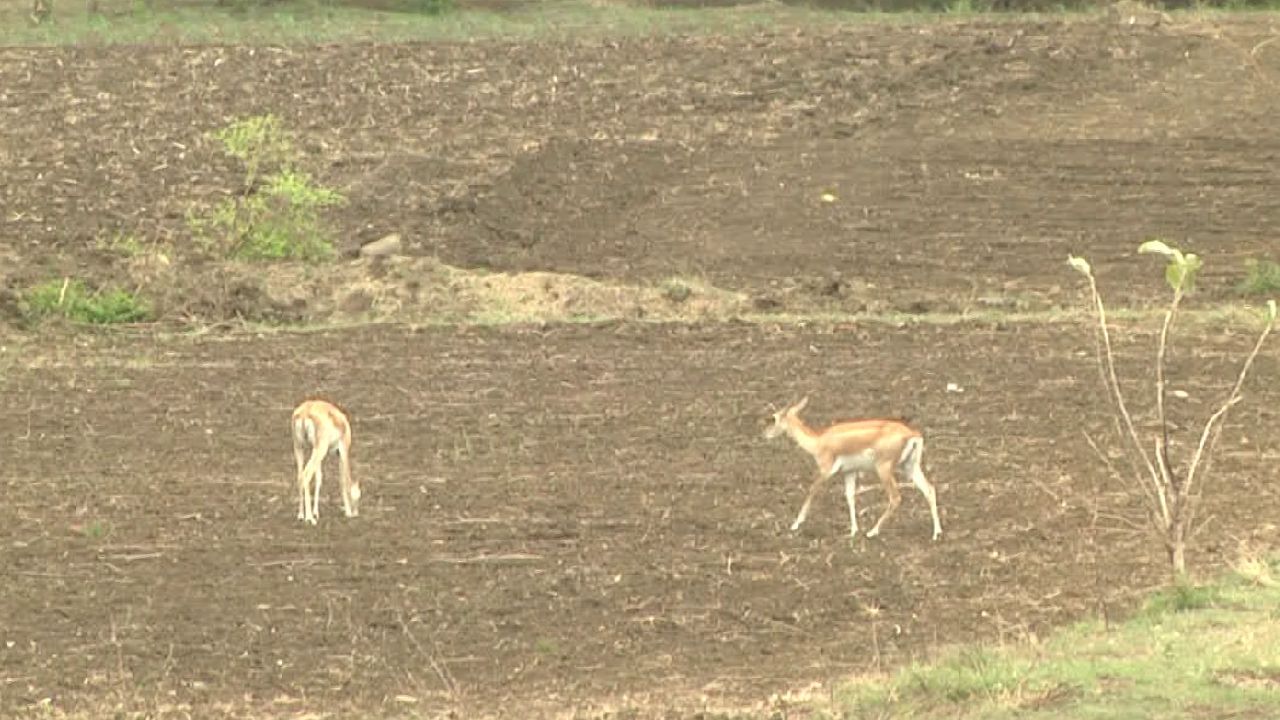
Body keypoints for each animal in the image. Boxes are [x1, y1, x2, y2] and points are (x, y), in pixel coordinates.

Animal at [293, 394, 363, 525]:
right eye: (358, 496)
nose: (356, 513)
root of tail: (305, 412)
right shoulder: (343, 451)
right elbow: (343, 480)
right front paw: (348, 512)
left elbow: (319, 478)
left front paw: (316, 512)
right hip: (320, 449)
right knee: (306, 475)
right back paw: (309, 519)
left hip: (300, 447)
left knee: (300, 475)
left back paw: (301, 515)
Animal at [768, 397, 942, 538]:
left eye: (774, 417)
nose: (766, 433)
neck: (818, 441)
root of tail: (912, 434)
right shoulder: (849, 472)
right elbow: (850, 497)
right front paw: (853, 531)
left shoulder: (825, 470)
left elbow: (812, 490)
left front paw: (795, 524)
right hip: (910, 466)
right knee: (929, 489)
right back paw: (936, 533)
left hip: (884, 469)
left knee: (896, 498)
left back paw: (872, 532)